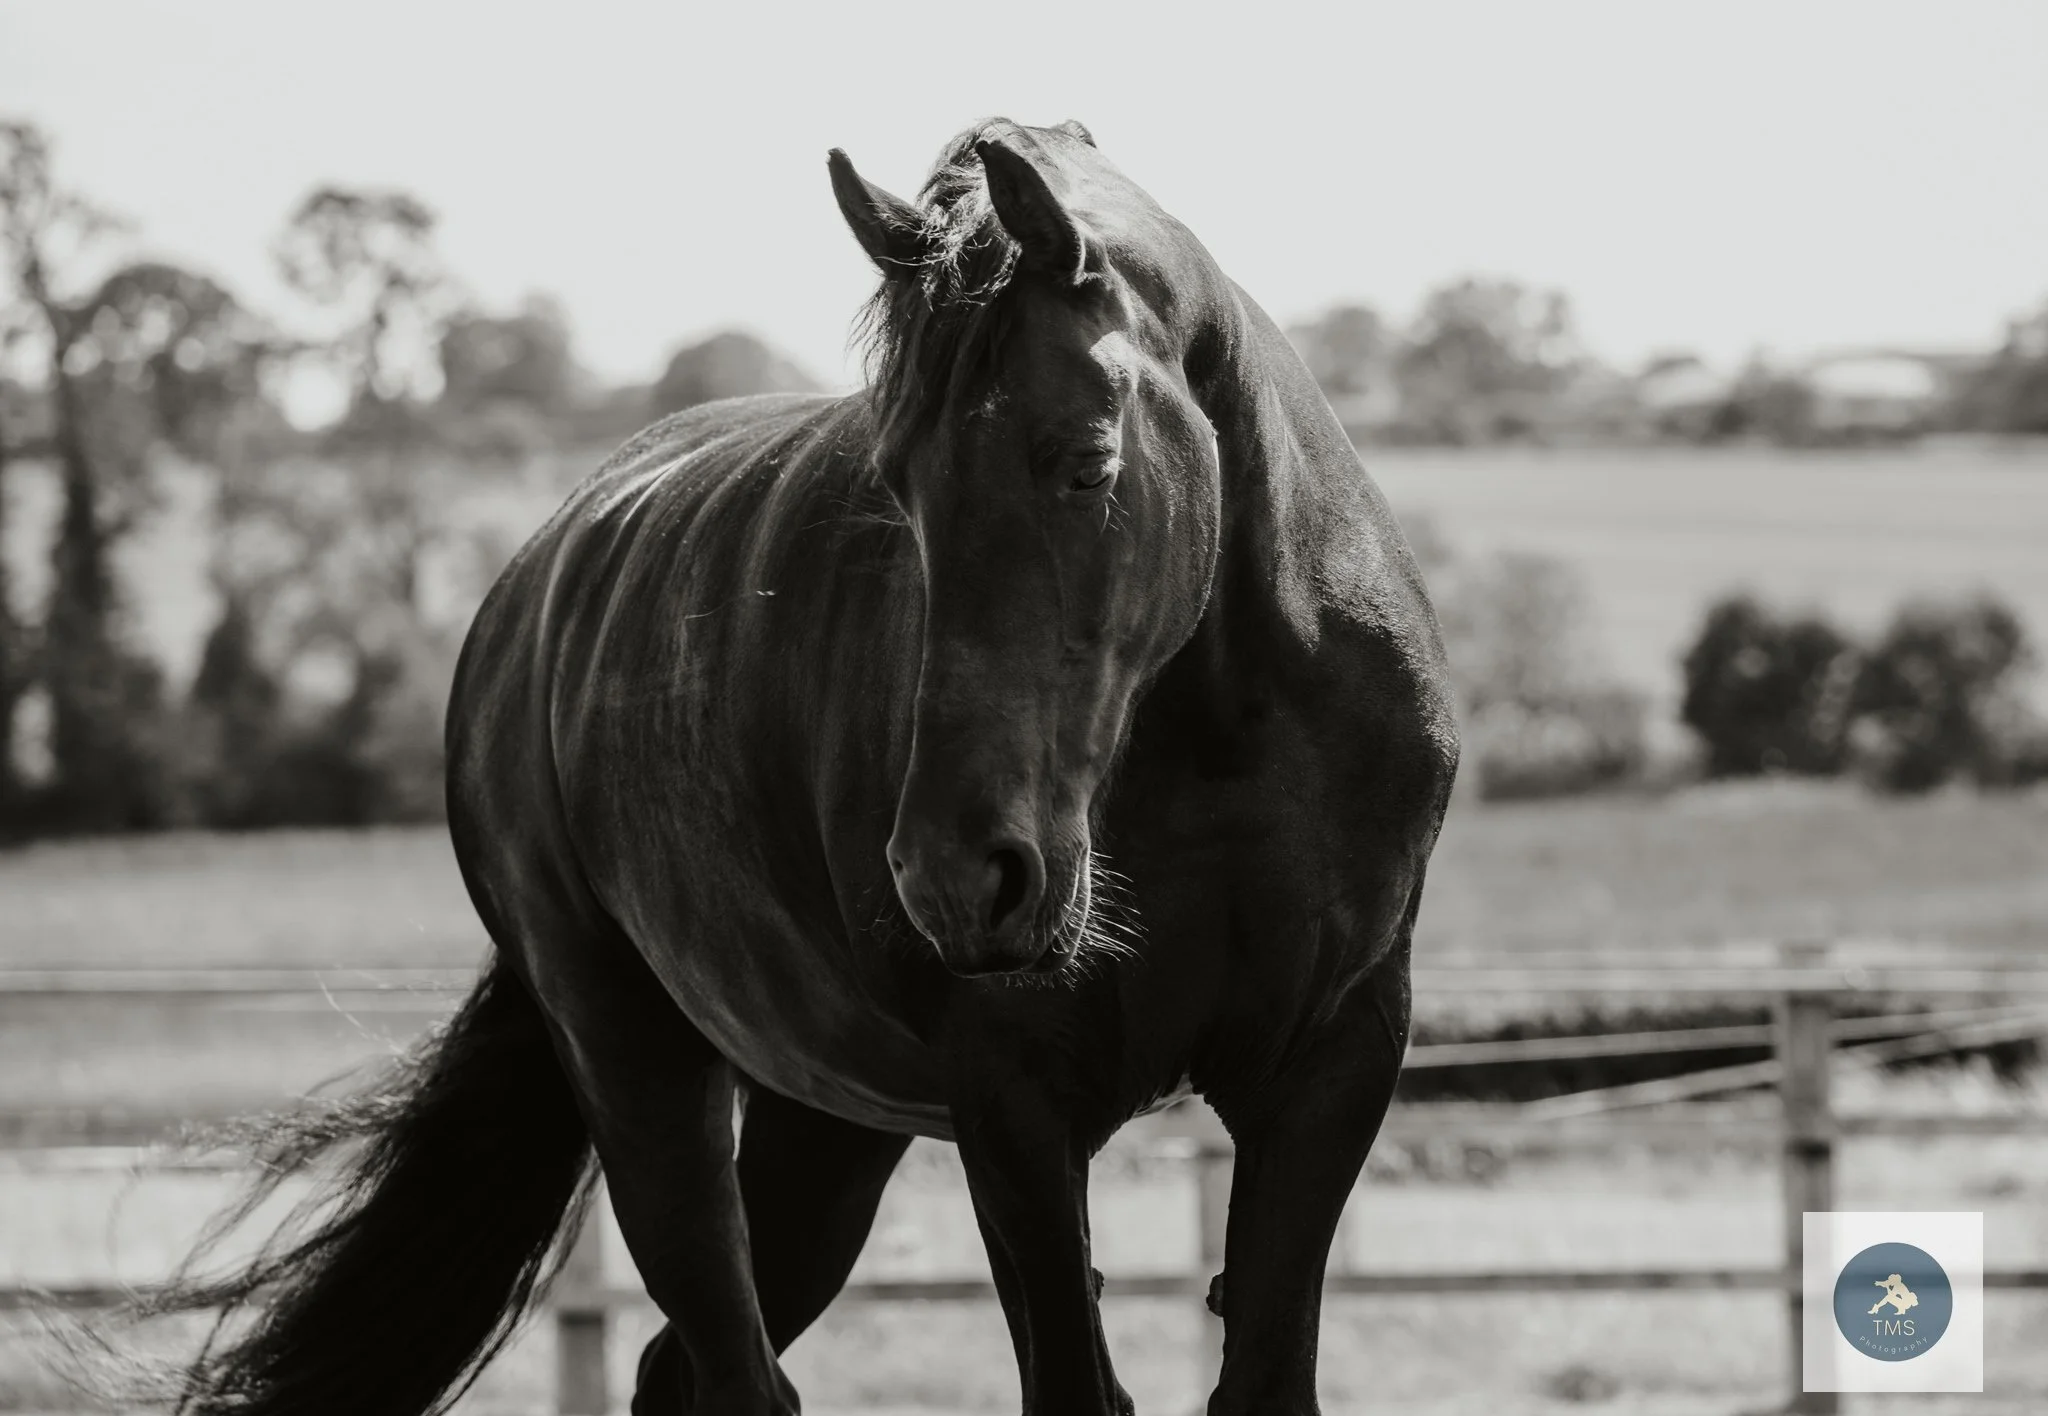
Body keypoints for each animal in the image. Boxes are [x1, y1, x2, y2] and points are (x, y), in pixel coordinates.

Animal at [150, 117, 1458, 1416]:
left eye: (1087, 463)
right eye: (899, 486)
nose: (955, 881)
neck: (1224, 732)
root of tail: (534, 584)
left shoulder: (1328, 1070)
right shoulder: (1015, 1109)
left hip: (821, 1123)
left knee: (682, 1367)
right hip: (638, 1071)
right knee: (725, 1363)